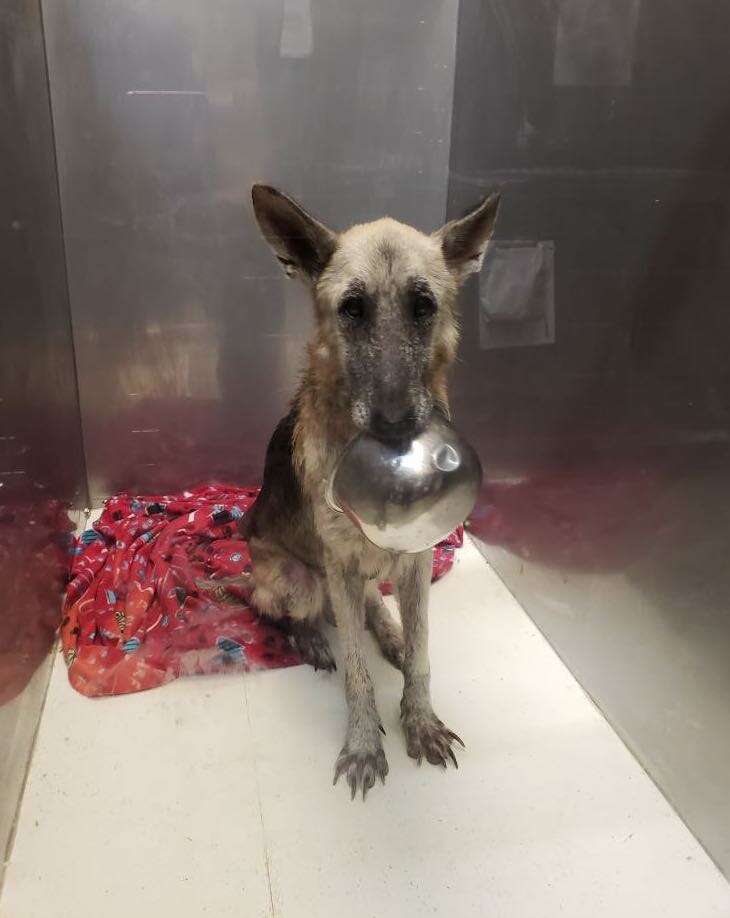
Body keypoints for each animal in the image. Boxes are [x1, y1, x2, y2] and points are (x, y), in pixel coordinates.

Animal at [240, 185, 500, 796]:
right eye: (352, 309)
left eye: (423, 305)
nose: (396, 424)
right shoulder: (337, 565)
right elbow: (356, 674)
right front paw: (363, 743)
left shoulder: (418, 560)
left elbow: (423, 653)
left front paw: (420, 720)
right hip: (297, 581)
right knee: (286, 612)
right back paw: (310, 636)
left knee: (373, 609)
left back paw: (390, 633)